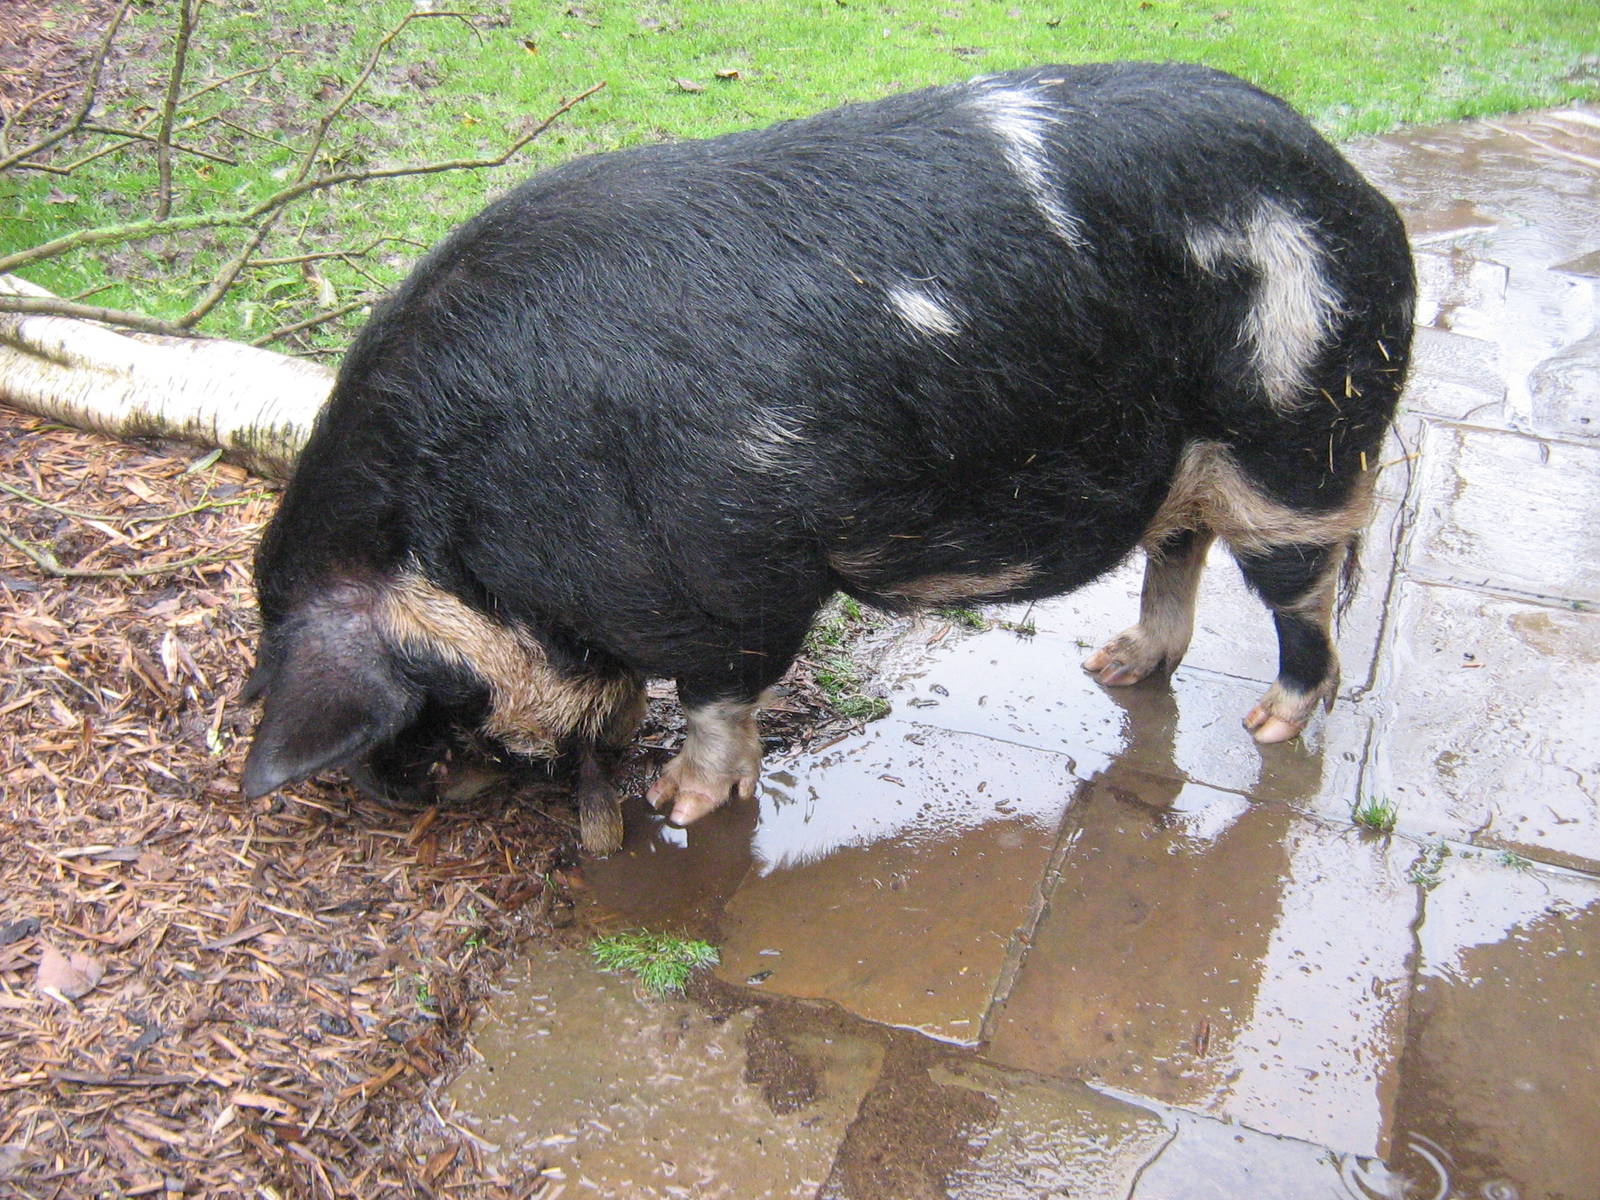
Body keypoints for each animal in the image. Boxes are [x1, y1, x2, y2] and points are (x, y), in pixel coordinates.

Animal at [240, 62, 1415, 856]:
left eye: (430, 698)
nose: (401, 789)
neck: (470, 526)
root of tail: (1350, 182)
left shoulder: (735, 583)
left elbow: (719, 697)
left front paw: (674, 804)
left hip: (1297, 427)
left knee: (1302, 588)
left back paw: (1271, 723)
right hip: (1194, 452)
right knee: (1180, 547)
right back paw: (1113, 668)